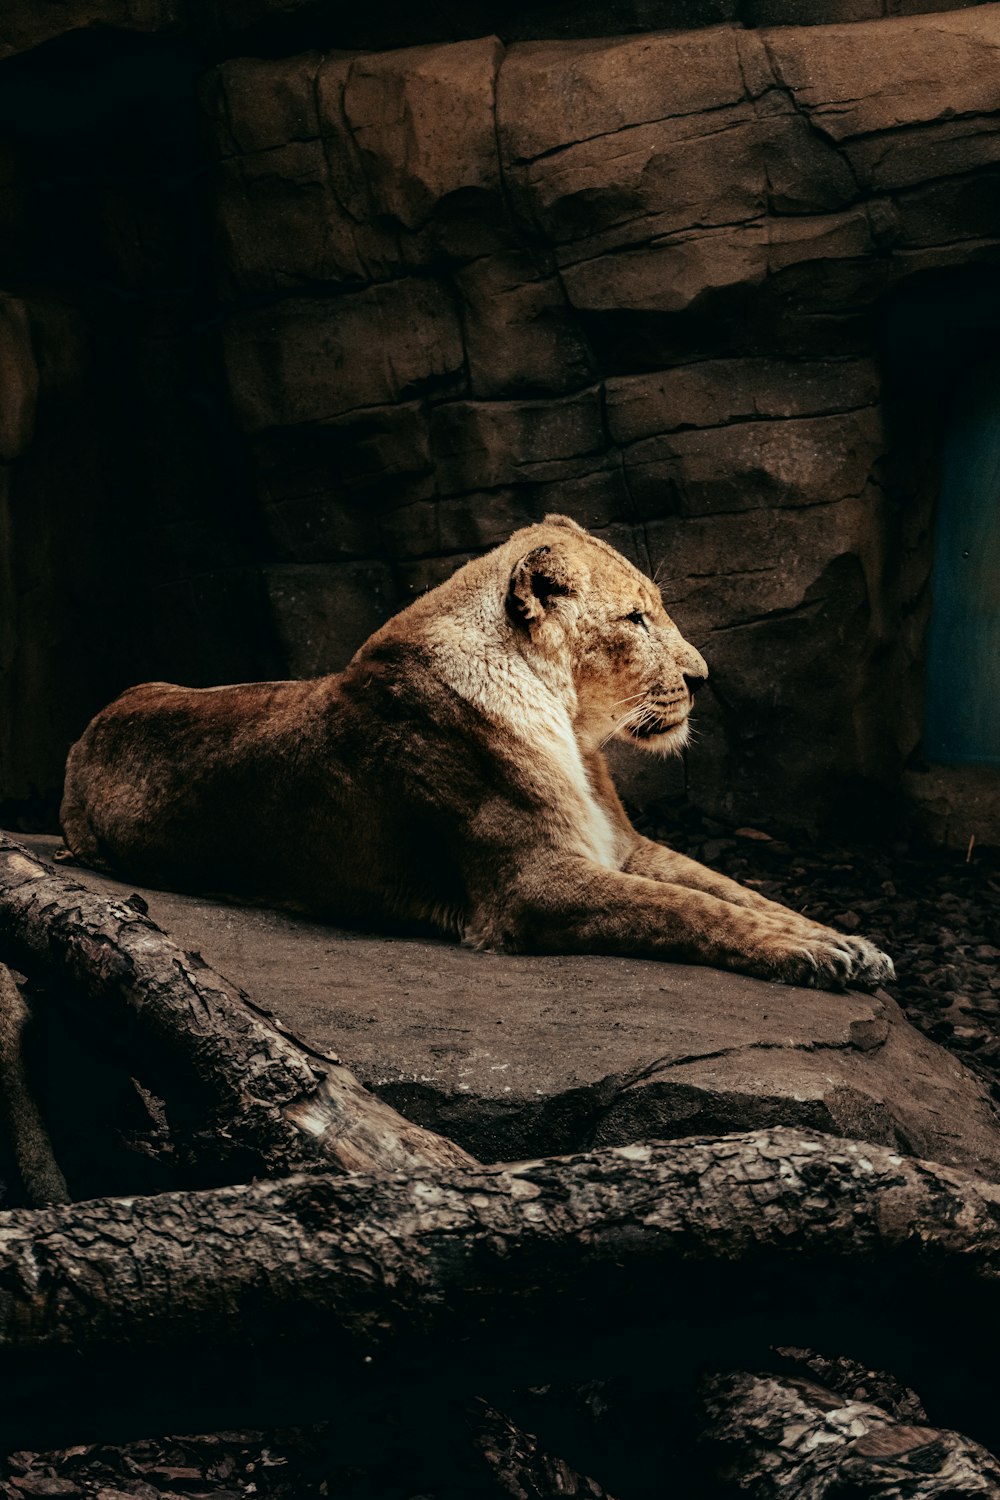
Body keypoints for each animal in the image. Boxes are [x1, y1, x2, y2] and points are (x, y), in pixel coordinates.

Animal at [58, 519, 893, 996]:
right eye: (635, 619)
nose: (702, 679)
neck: (569, 728)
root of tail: (90, 724)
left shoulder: (625, 846)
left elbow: (733, 891)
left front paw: (848, 942)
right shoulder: (532, 885)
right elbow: (689, 910)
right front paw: (810, 954)